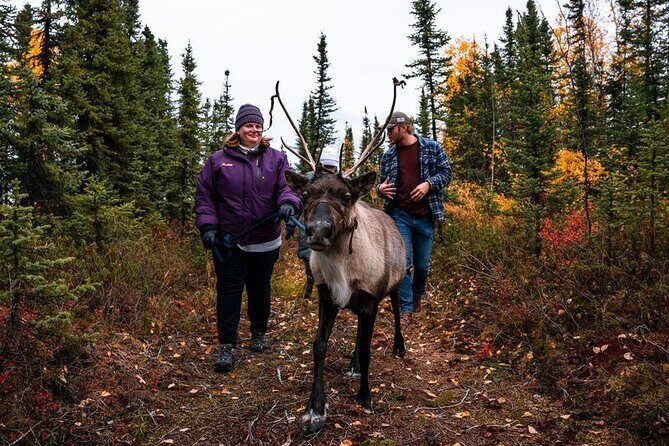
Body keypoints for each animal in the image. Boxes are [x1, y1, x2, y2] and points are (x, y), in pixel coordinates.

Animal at [270, 78, 407, 433]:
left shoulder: (371, 298)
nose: (318, 230)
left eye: (346, 196)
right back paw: (353, 364)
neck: (343, 271)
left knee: (397, 312)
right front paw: (314, 408)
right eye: (305, 194)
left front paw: (365, 398)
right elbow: (319, 346)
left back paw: (399, 347)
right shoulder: (326, 294)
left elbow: (369, 348)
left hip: (399, 281)